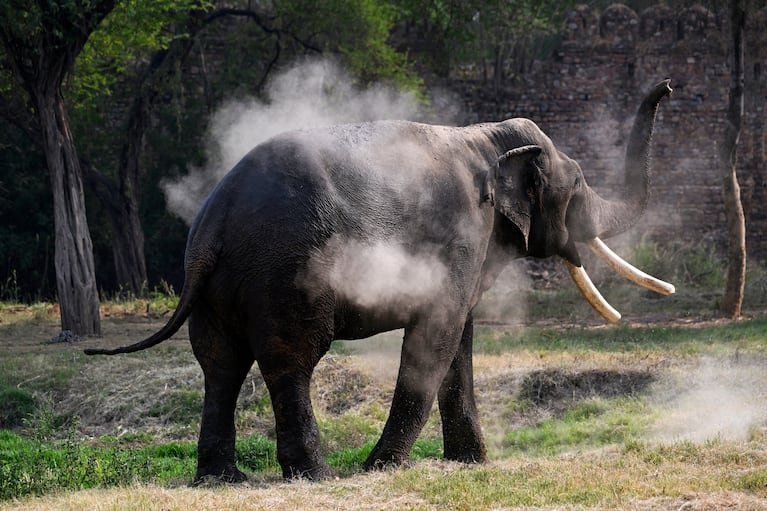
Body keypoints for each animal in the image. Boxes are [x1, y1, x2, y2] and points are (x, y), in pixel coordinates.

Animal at [86, 80, 674, 482]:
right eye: (576, 186)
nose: (667, 86)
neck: (485, 135)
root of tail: (213, 221)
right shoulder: (461, 234)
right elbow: (434, 341)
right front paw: (383, 469)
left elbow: (457, 341)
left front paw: (471, 465)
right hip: (288, 276)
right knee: (289, 361)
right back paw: (315, 476)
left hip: (219, 290)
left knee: (219, 364)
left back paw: (223, 479)